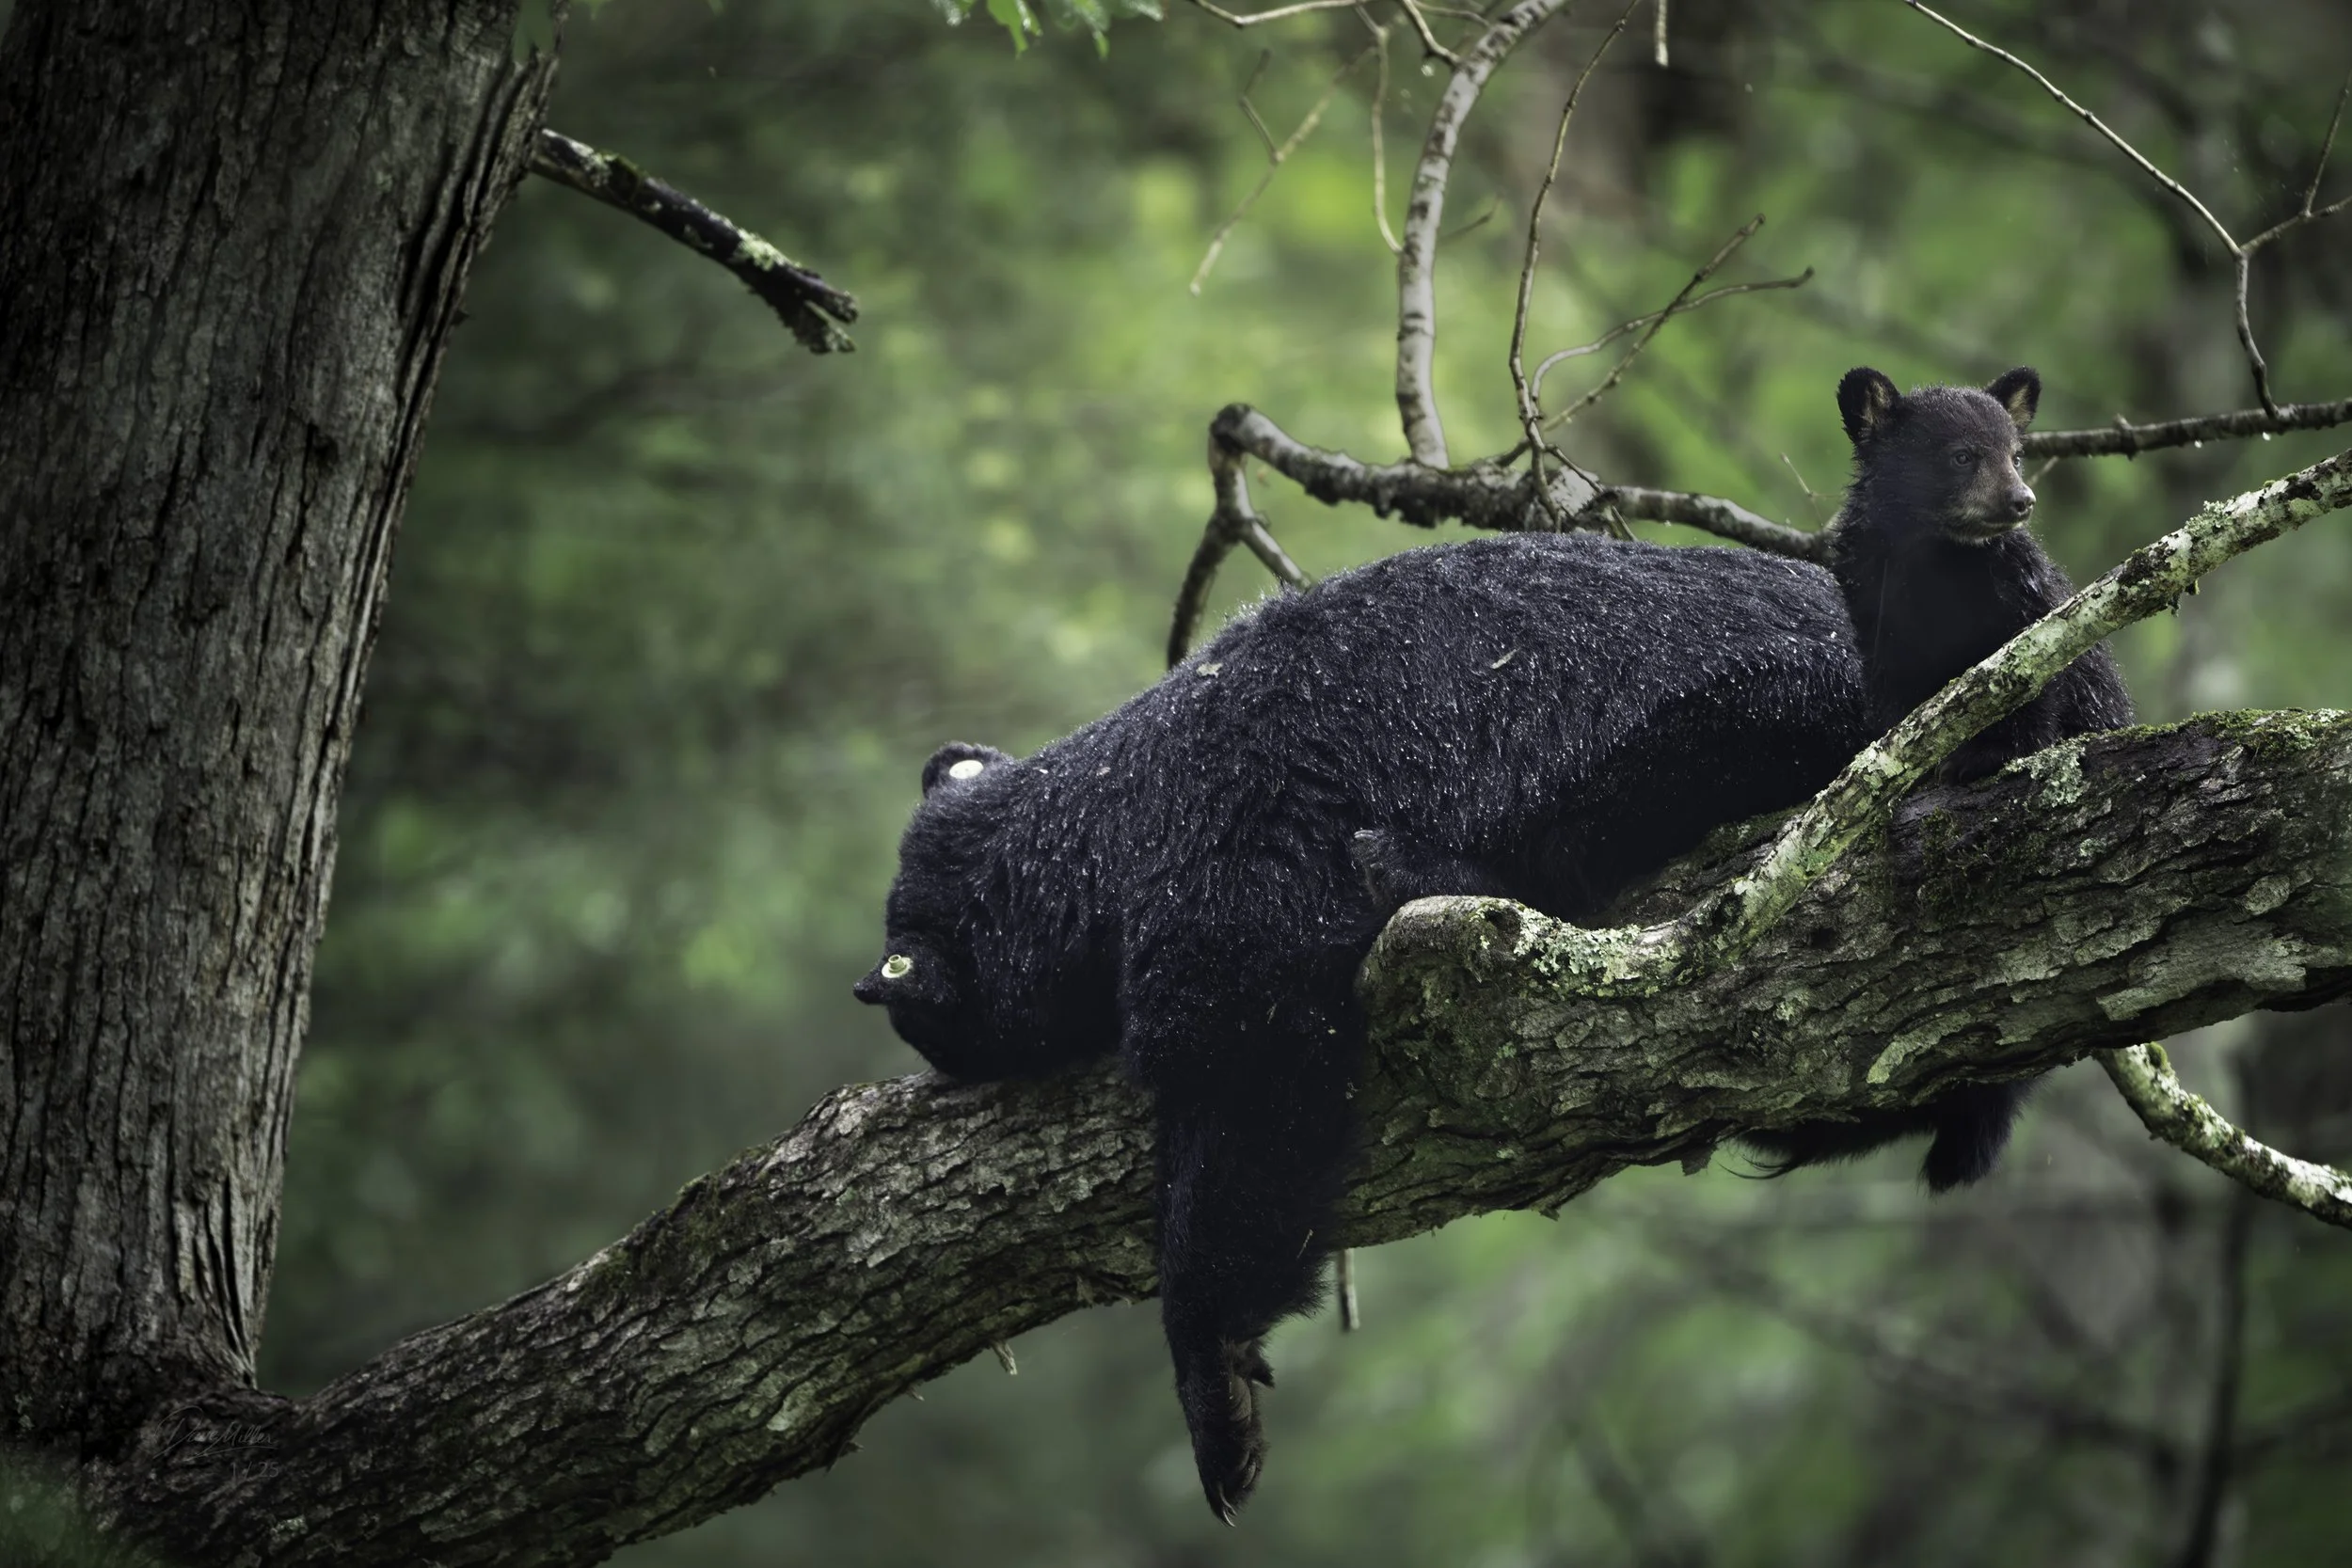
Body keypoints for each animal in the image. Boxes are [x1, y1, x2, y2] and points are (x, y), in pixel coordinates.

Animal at [1736, 365, 2134, 1189]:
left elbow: (2032, 677)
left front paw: (1988, 756)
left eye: (2017, 452)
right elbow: (1894, 702)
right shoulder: (1874, 602)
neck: (1938, 558)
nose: (2022, 499)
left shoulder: (2019, 595)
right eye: (1961, 455)